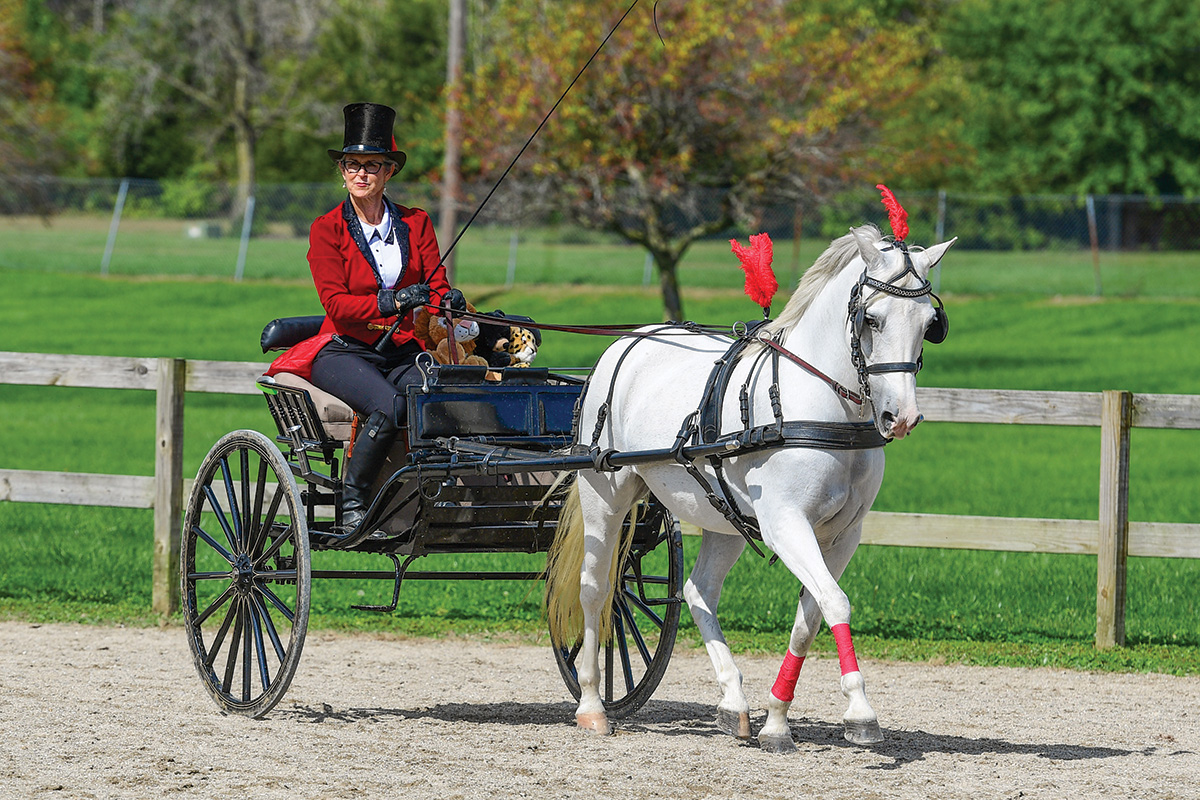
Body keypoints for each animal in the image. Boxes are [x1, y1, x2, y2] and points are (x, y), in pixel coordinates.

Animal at [547, 220, 955, 753]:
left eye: (930, 323)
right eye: (872, 318)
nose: (900, 417)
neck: (820, 408)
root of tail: (627, 341)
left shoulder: (844, 535)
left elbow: (810, 617)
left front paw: (777, 718)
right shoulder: (785, 524)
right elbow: (835, 601)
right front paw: (860, 710)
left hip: (722, 518)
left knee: (698, 591)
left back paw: (733, 701)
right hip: (604, 494)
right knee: (597, 590)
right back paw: (593, 704)